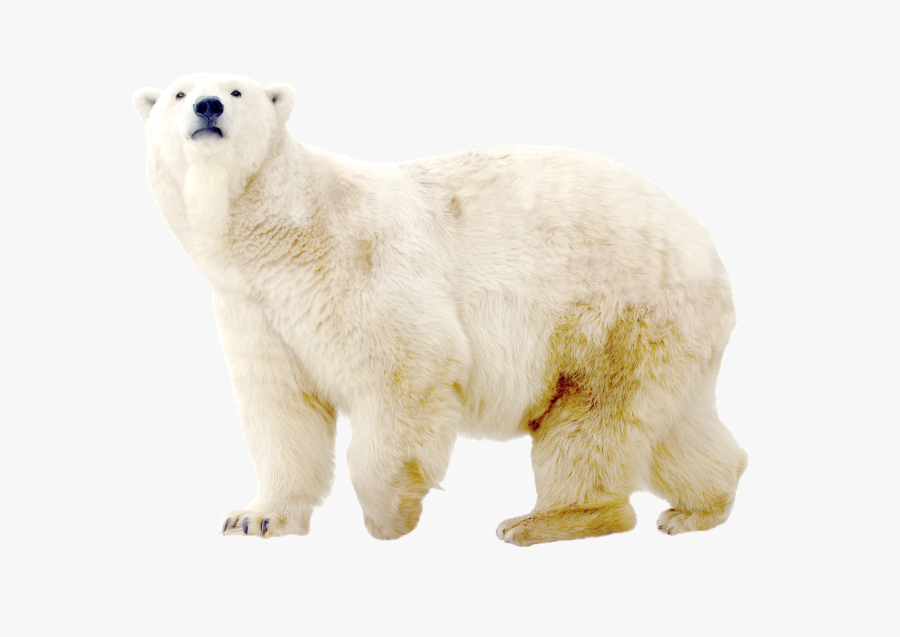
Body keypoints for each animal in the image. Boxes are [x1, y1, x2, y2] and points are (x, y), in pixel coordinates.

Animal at [133, 73, 748, 546]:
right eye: (179, 93)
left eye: (236, 90)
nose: (207, 107)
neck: (284, 233)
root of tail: (706, 247)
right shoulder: (256, 308)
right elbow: (283, 406)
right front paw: (255, 517)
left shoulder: (359, 265)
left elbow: (407, 367)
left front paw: (389, 517)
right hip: (669, 331)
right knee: (674, 425)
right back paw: (699, 506)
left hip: (615, 311)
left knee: (593, 417)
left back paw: (544, 521)